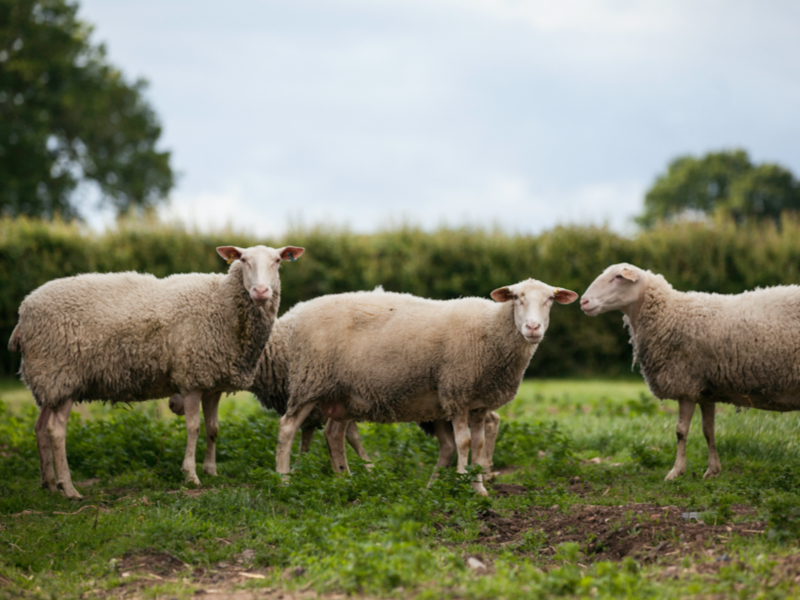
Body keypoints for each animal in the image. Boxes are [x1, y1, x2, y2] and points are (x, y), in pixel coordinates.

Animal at [8, 244, 304, 498]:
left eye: (277, 261)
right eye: (243, 260)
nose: (261, 291)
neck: (222, 303)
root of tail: (24, 312)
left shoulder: (212, 382)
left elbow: (213, 429)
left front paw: (211, 471)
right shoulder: (191, 377)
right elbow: (194, 428)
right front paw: (191, 475)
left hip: (49, 381)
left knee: (40, 427)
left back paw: (49, 483)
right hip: (62, 373)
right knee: (56, 431)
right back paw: (69, 489)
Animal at [274, 279, 578, 495]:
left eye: (550, 299)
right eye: (516, 297)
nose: (533, 327)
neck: (490, 330)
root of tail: (298, 311)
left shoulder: (478, 403)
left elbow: (479, 444)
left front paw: (479, 489)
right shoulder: (456, 393)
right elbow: (464, 442)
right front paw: (460, 482)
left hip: (344, 394)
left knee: (334, 435)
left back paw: (345, 481)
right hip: (310, 381)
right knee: (287, 428)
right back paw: (284, 481)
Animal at [580, 262, 800, 481]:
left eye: (618, 277)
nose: (583, 301)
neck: (670, 314)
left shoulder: (685, 385)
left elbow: (681, 431)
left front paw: (676, 471)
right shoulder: (705, 390)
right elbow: (708, 430)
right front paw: (712, 470)